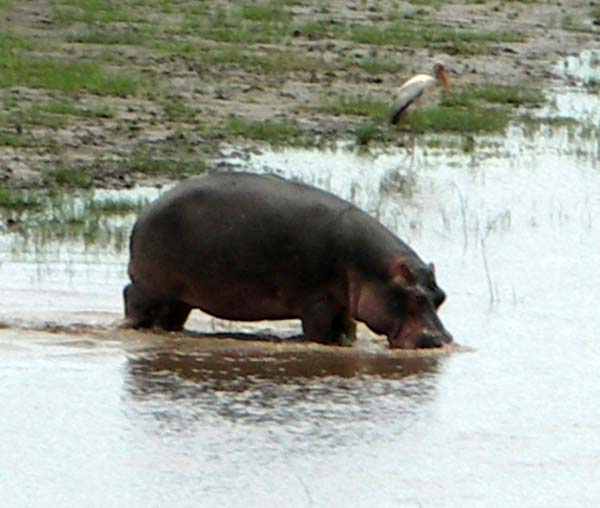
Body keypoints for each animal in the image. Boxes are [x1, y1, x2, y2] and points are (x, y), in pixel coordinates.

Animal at [123, 172, 450, 350]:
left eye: (441, 297)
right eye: (413, 296)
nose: (441, 340)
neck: (372, 269)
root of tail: (143, 214)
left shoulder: (344, 306)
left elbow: (347, 333)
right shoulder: (319, 302)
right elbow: (320, 334)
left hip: (179, 298)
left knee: (169, 318)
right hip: (151, 287)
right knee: (131, 297)